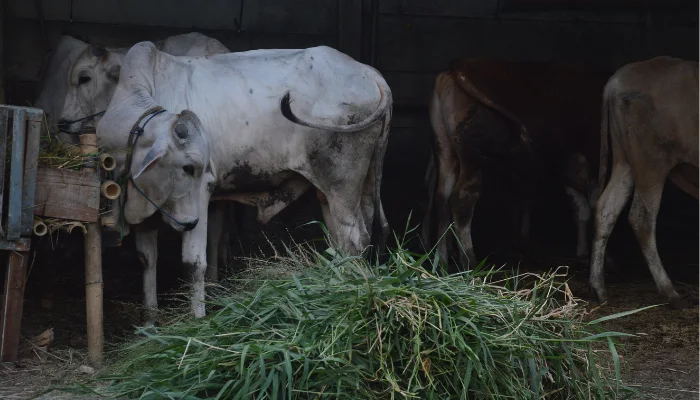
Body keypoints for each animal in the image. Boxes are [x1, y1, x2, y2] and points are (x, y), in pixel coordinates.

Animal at [97, 41, 394, 318]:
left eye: (193, 167)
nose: (189, 222)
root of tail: (369, 73)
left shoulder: (202, 193)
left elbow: (194, 262)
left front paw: (197, 319)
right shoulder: (143, 205)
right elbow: (146, 259)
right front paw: (149, 321)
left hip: (341, 184)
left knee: (354, 239)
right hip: (352, 186)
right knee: (348, 238)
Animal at [422, 57, 612, 268]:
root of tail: (460, 66)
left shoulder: (570, 166)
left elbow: (582, 210)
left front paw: (583, 252)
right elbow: (596, 207)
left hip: (444, 149)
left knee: (441, 198)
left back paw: (441, 262)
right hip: (475, 155)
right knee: (461, 199)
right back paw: (470, 261)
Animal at [588, 56, 696, 308]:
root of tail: (617, 80)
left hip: (625, 162)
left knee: (606, 209)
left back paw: (599, 288)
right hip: (651, 163)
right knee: (641, 218)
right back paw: (669, 291)